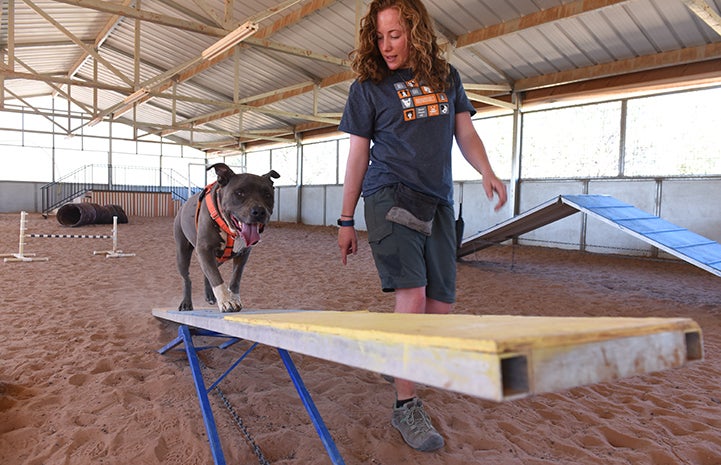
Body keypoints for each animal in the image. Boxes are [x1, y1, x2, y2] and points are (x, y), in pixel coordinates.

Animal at [173, 163, 280, 312]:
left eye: (267, 194)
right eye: (239, 193)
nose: (259, 211)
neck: (231, 230)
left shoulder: (244, 254)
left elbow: (235, 277)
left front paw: (233, 298)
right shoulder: (204, 249)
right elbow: (216, 277)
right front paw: (226, 301)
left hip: (218, 259)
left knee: (207, 272)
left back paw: (209, 295)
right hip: (182, 254)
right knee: (187, 279)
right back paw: (186, 302)